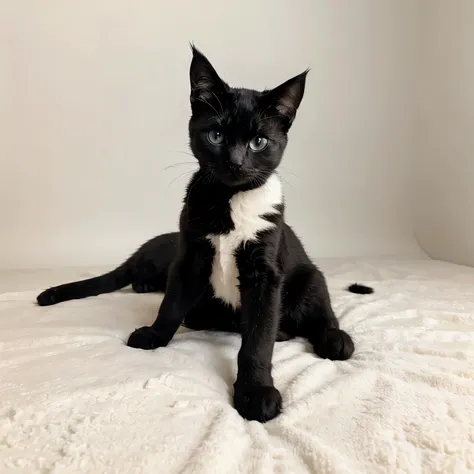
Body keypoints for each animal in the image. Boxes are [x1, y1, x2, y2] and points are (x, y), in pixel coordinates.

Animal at [35, 46, 372, 420]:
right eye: (216, 136)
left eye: (259, 141)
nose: (235, 162)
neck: (228, 203)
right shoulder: (190, 257)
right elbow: (171, 303)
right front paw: (155, 334)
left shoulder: (265, 271)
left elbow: (257, 337)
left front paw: (256, 392)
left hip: (308, 276)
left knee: (319, 310)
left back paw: (333, 338)